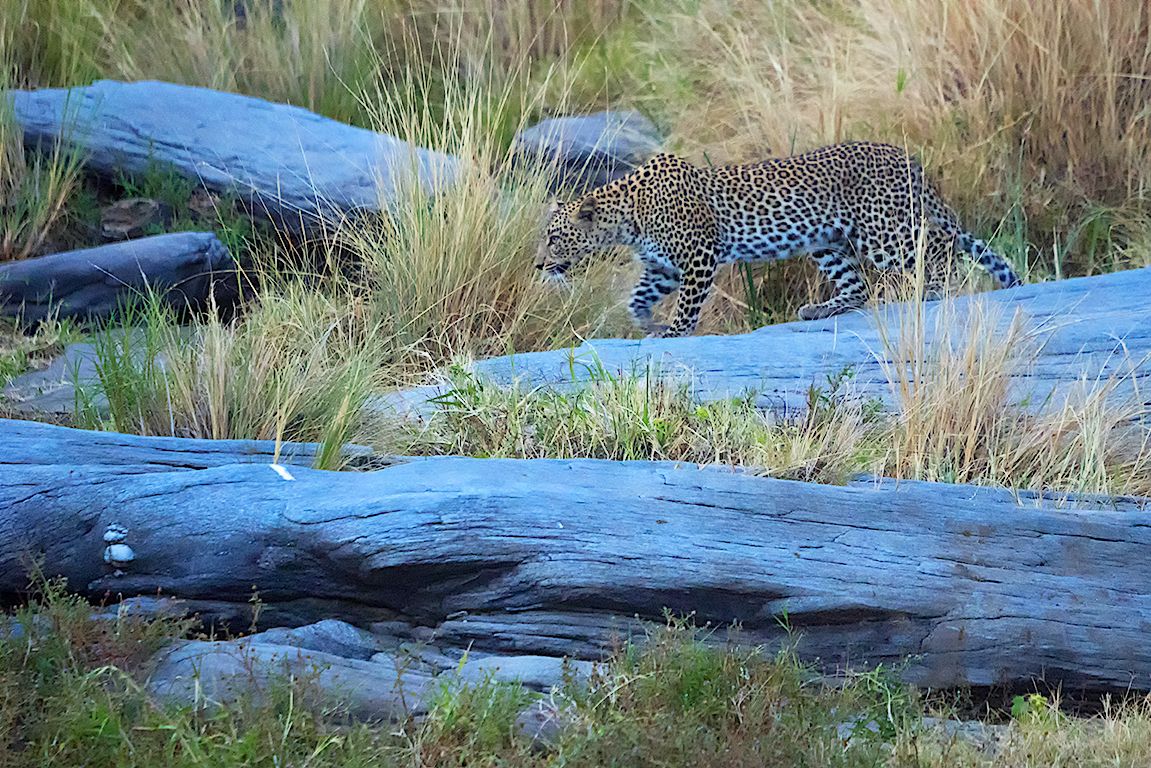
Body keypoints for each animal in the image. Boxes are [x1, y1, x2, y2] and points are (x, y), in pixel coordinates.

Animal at [535, 141, 1022, 338]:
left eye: (554, 239)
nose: (539, 265)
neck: (626, 216)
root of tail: (905, 156)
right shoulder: (662, 267)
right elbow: (636, 299)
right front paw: (648, 324)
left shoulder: (699, 256)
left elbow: (688, 305)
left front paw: (672, 331)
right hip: (827, 241)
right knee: (858, 287)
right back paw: (821, 309)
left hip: (884, 229)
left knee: (938, 244)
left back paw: (935, 289)